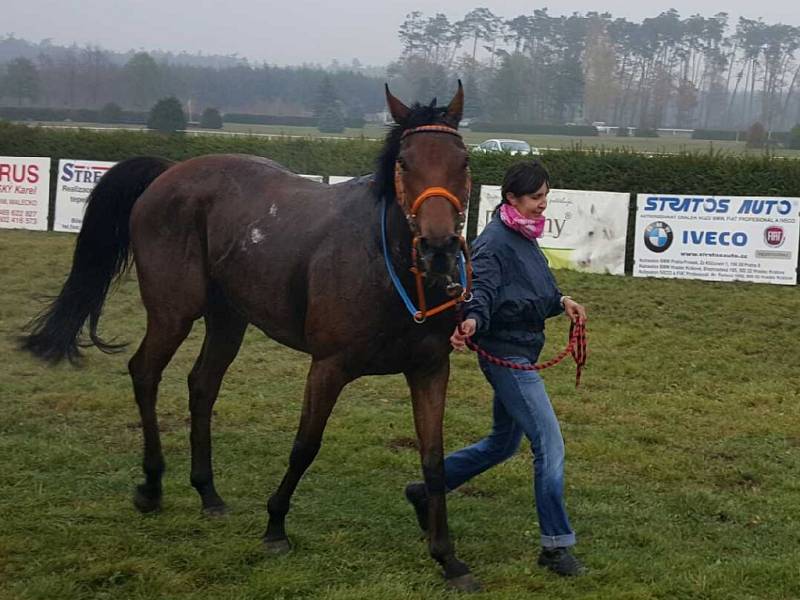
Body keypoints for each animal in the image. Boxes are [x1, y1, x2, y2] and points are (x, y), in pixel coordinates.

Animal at [20, 82, 482, 592]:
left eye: (462, 160)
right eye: (404, 161)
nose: (438, 248)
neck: (385, 265)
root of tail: (169, 172)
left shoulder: (429, 369)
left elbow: (435, 460)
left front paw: (447, 557)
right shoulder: (328, 366)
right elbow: (305, 446)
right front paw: (275, 525)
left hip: (228, 318)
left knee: (201, 385)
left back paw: (207, 491)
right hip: (172, 312)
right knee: (144, 372)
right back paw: (152, 485)